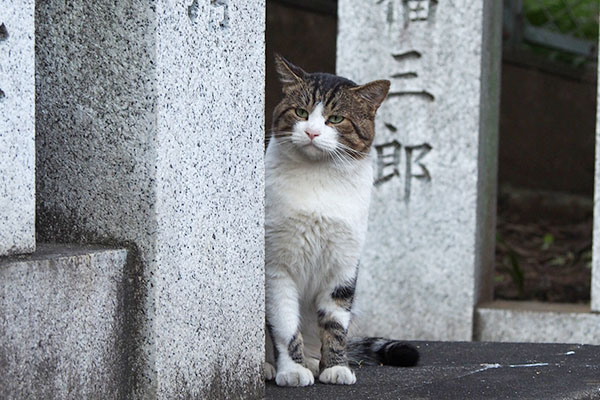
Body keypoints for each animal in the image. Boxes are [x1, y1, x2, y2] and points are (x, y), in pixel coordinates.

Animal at [264, 54, 420, 386]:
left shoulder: (344, 262)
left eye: (335, 119)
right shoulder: (276, 265)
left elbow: (336, 322)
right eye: (301, 112)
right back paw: (269, 366)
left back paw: (313, 361)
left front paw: (335, 367)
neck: (319, 179)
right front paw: (292, 370)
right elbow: (284, 323)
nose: (311, 132)